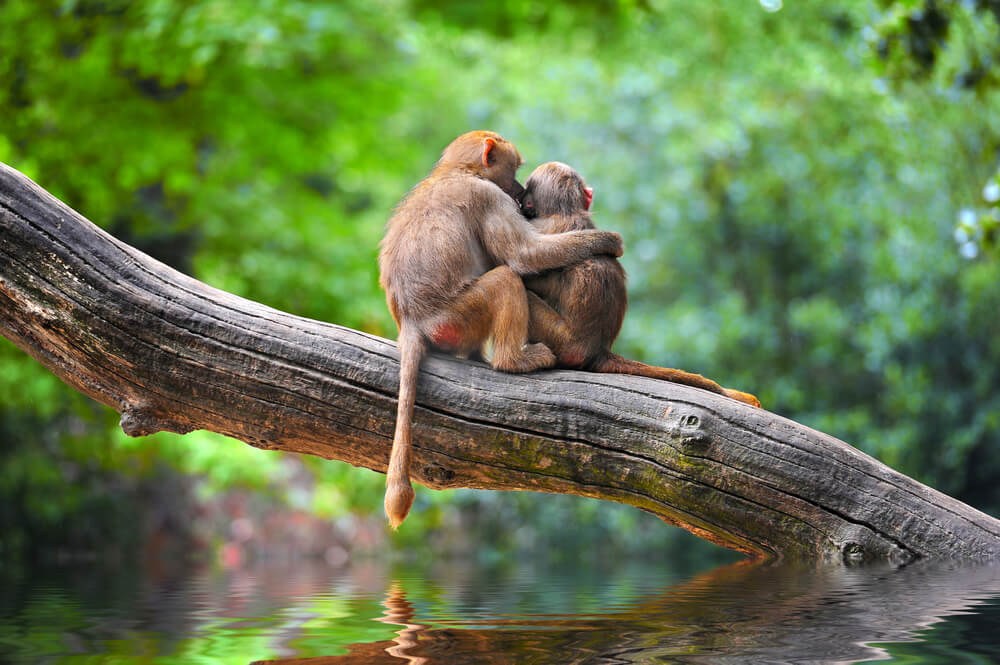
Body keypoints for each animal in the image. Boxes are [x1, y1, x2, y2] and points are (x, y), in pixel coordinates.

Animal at [376, 132, 620, 528]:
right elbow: (523, 258)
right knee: (506, 278)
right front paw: (608, 241)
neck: (456, 171)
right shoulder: (488, 197)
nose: (520, 193)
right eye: (515, 169)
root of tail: (411, 321)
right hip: (455, 318)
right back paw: (513, 361)